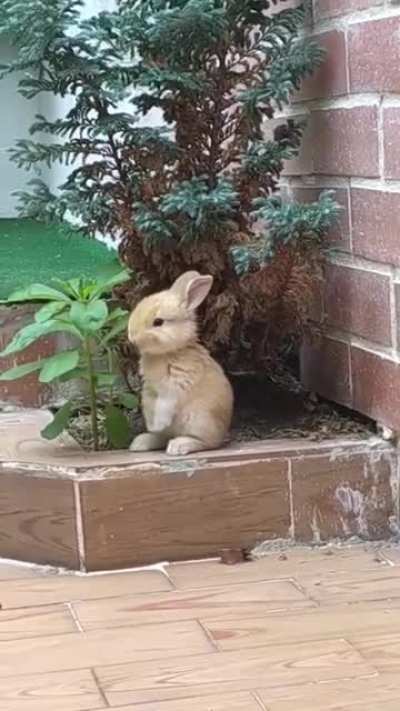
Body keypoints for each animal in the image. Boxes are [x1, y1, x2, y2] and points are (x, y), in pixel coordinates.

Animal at [128, 271, 234, 456]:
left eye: (158, 322)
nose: (131, 336)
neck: (168, 352)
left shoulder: (175, 385)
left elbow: (165, 405)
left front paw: (157, 424)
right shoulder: (150, 389)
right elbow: (150, 404)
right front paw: (152, 426)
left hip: (199, 419)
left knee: (207, 443)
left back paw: (179, 445)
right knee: (163, 438)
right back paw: (141, 443)